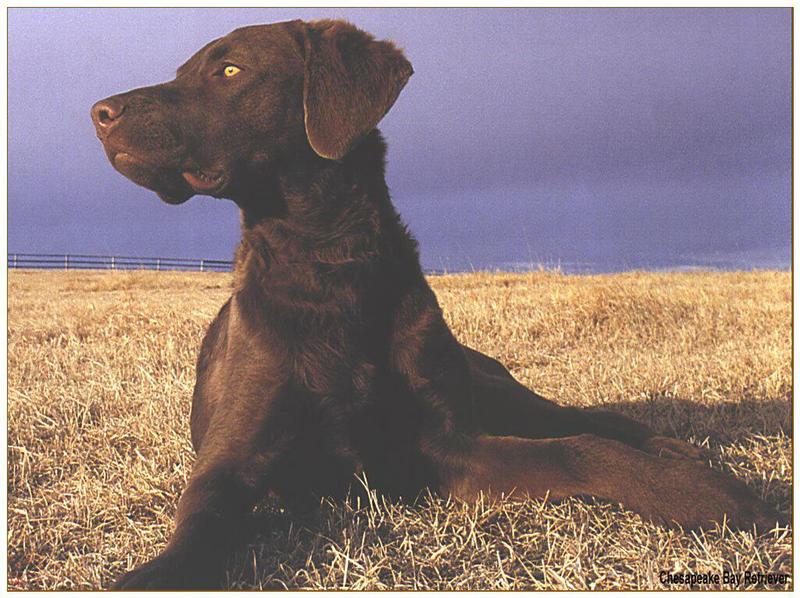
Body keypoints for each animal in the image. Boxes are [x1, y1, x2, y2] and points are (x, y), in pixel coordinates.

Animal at [90, 17, 780, 592]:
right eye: (184, 71)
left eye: (230, 71)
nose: (99, 111)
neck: (330, 265)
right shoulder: (232, 461)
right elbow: (197, 529)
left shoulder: (451, 448)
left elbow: (579, 447)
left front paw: (698, 489)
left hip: (493, 386)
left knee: (583, 417)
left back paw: (676, 449)